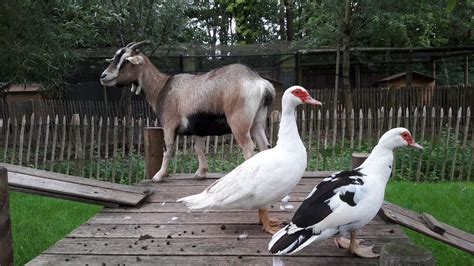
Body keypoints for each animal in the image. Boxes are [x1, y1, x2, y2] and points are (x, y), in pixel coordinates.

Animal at [102, 41, 276, 182]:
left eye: (125, 61)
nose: (103, 76)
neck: (162, 87)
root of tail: (260, 82)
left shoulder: (169, 124)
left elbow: (168, 148)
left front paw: (159, 176)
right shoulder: (198, 129)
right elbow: (198, 148)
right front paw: (201, 173)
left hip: (239, 123)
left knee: (249, 150)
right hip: (257, 122)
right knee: (264, 146)